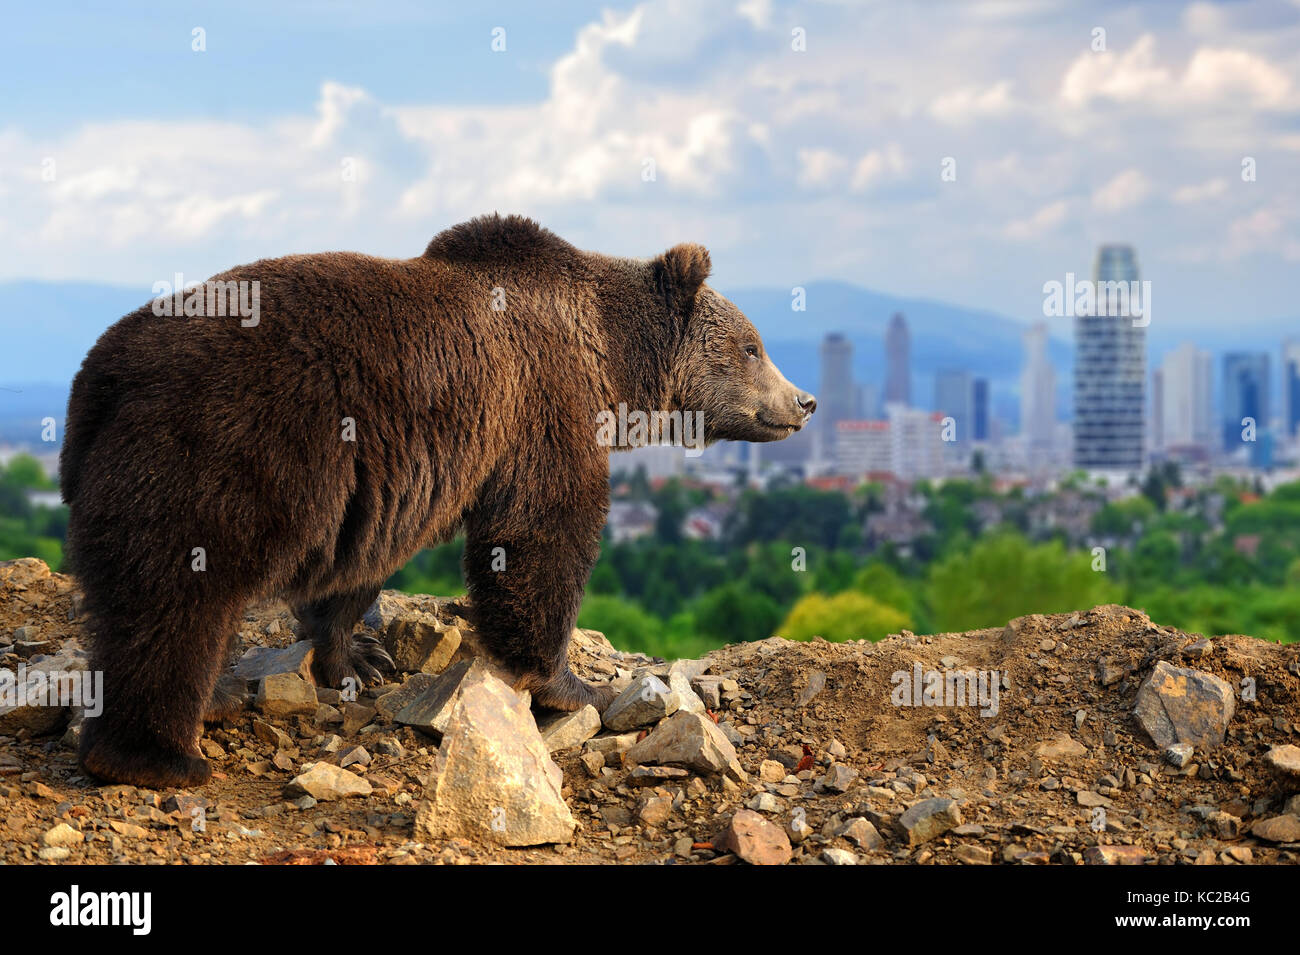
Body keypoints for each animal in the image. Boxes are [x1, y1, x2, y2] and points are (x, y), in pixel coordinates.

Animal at [61, 214, 811, 784]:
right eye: (752, 346)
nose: (802, 401)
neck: (607, 355)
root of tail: (100, 375)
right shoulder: (539, 407)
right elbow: (542, 534)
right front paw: (573, 683)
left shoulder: (386, 480)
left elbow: (359, 567)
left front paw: (358, 656)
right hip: (220, 452)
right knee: (174, 602)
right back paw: (159, 753)